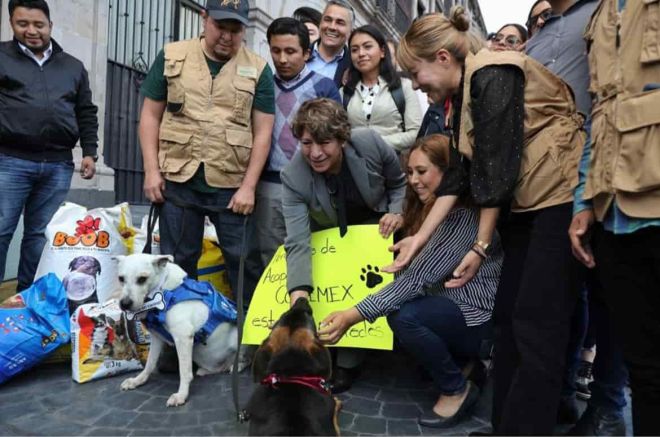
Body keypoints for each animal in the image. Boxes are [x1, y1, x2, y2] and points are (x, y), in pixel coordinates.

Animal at [114, 254, 238, 408]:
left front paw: (181, 395)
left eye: (142, 279)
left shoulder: (183, 337)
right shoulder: (156, 338)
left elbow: (184, 372)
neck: (163, 290)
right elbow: (149, 364)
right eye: (121, 278)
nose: (124, 304)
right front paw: (138, 380)